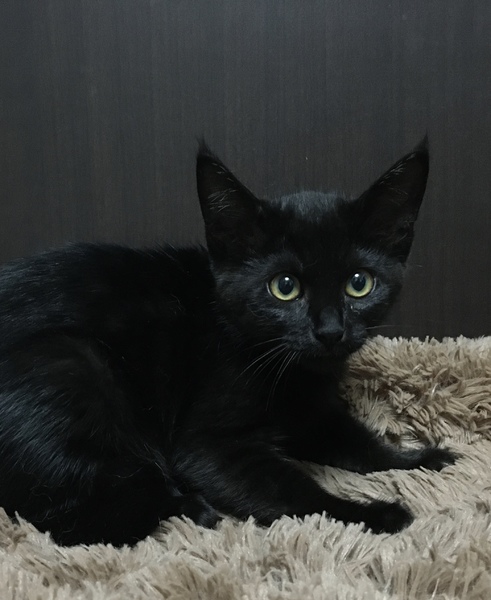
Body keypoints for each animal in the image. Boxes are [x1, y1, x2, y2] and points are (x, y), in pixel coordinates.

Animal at [0, 138, 454, 546]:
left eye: (359, 283)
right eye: (284, 287)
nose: (329, 331)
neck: (293, 375)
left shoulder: (313, 412)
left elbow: (359, 443)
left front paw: (421, 458)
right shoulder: (208, 446)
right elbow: (297, 493)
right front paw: (374, 513)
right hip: (73, 363)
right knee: (75, 525)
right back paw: (191, 507)